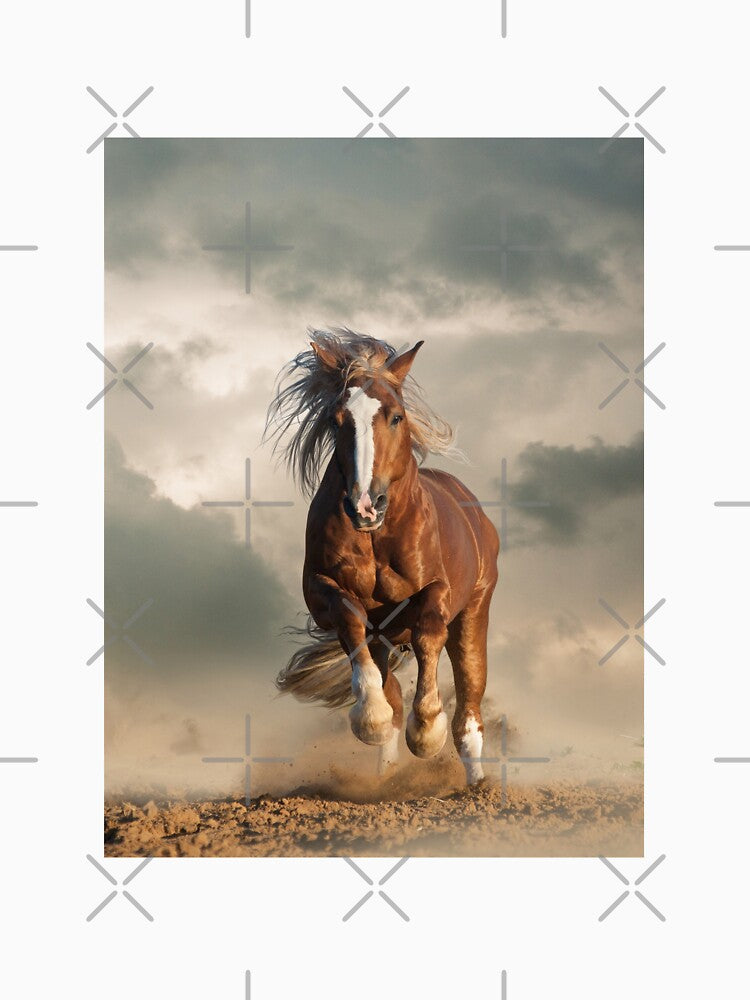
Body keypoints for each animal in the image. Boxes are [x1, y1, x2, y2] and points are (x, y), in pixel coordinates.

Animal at [265, 329, 499, 785]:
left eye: (396, 416)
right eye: (337, 420)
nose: (364, 505)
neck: (378, 537)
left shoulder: (438, 592)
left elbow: (429, 633)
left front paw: (425, 731)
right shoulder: (323, 592)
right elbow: (351, 622)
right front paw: (370, 719)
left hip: (474, 612)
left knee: (469, 703)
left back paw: (477, 784)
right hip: (386, 637)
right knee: (390, 687)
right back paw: (387, 775)